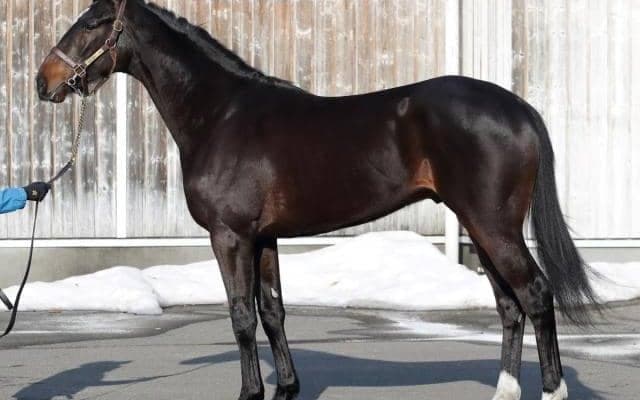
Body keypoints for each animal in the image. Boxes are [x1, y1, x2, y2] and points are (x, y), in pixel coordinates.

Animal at [36, 1, 598, 399]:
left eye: (93, 23)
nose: (44, 82)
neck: (220, 115)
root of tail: (519, 108)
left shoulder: (230, 237)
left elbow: (241, 316)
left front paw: (250, 393)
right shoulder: (264, 239)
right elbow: (272, 311)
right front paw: (286, 387)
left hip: (493, 227)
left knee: (535, 295)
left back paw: (552, 390)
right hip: (482, 228)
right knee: (509, 306)